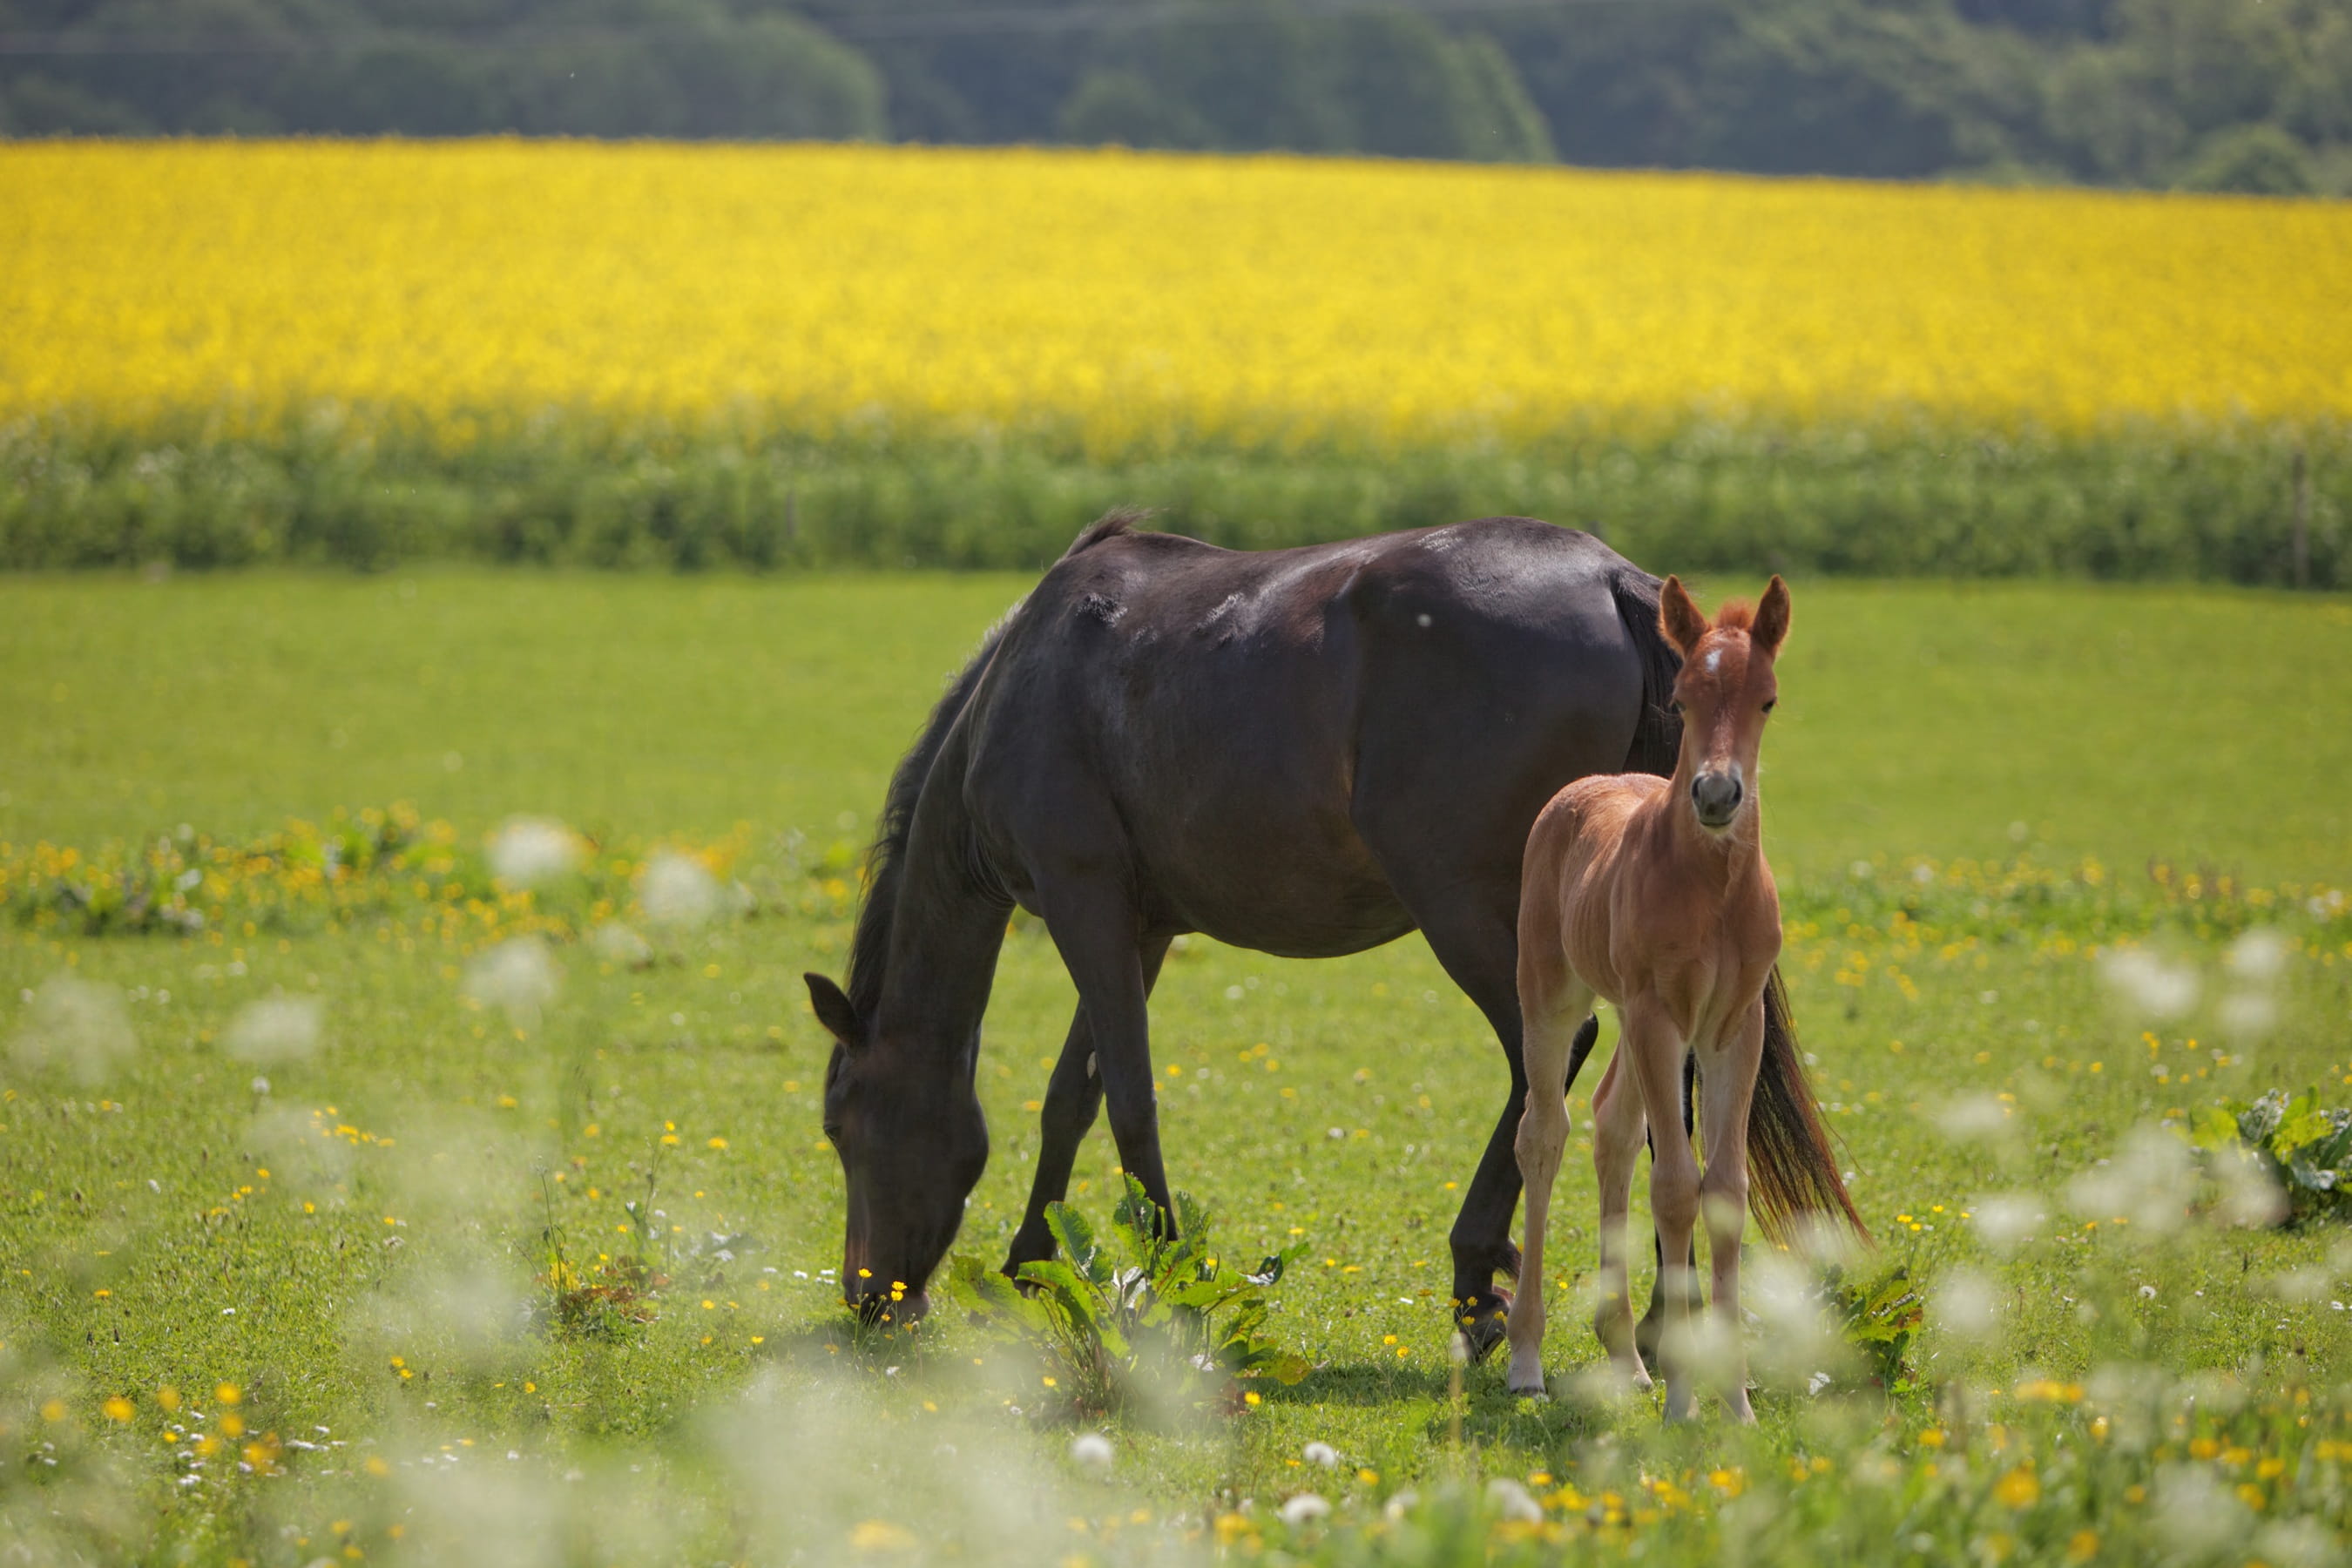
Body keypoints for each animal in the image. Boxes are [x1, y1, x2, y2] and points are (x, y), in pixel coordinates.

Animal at [804, 510, 1705, 1350]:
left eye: (837, 1126)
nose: (867, 1298)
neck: (1022, 682)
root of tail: (1611, 579)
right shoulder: (1140, 928)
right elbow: (1072, 1095)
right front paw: (1031, 1261)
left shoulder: (1081, 900)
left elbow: (1128, 1097)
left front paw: (1165, 1273)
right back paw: (1668, 1316)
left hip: (1460, 904)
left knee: (1546, 1059)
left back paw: (1480, 1275)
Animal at [1503, 574, 1864, 1417]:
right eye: (1683, 695)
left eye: (1767, 699)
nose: (1717, 793)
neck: (1712, 889)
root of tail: (1584, 787)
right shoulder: (1658, 1015)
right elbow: (1673, 1187)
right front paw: (1682, 1402)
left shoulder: (1734, 1023)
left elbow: (1724, 1189)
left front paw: (1733, 1400)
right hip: (1556, 999)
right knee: (1544, 1134)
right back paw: (1528, 1358)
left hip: (1638, 1023)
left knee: (1611, 1124)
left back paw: (1627, 1359)